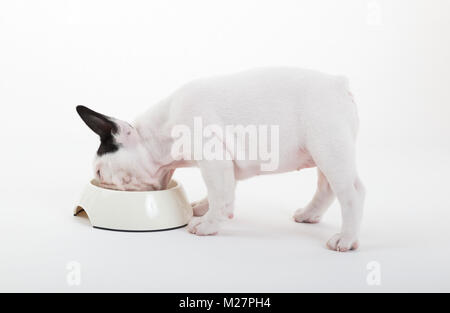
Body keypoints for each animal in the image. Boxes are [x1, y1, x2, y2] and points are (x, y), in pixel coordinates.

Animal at [76, 66, 366, 251]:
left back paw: (346, 238)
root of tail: (338, 84)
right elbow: (223, 190)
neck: (160, 133)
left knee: (351, 193)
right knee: (326, 187)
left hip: (328, 147)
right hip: (325, 152)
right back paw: (309, 214)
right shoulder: (225, 165)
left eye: (100, 172)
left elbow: (219, 194)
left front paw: (208, 224)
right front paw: (203, 208)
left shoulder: (212, 159)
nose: (98, 180)